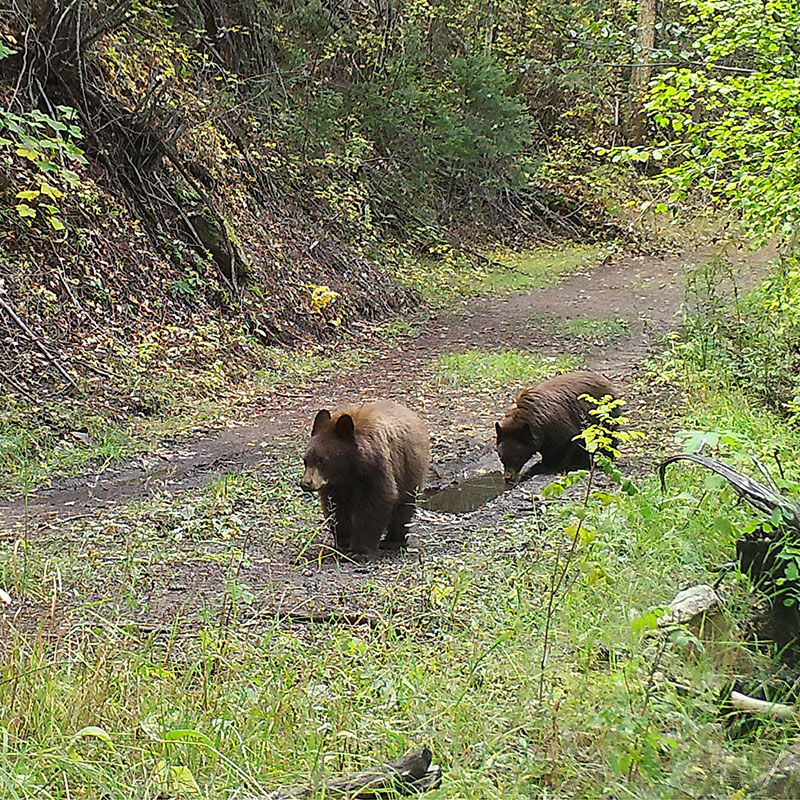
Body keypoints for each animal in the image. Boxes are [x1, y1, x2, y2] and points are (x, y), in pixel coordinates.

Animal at [299, 400, 430, 556]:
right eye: (305, 460)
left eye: (322, 460)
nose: (306, 483)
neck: (350, 468)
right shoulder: (335, 484)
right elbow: (336, 507)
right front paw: (343, 542)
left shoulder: (377, 468)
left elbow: (377, 502)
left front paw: (360, 551)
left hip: (410, 470)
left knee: (403, 507)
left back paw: (393, 540)